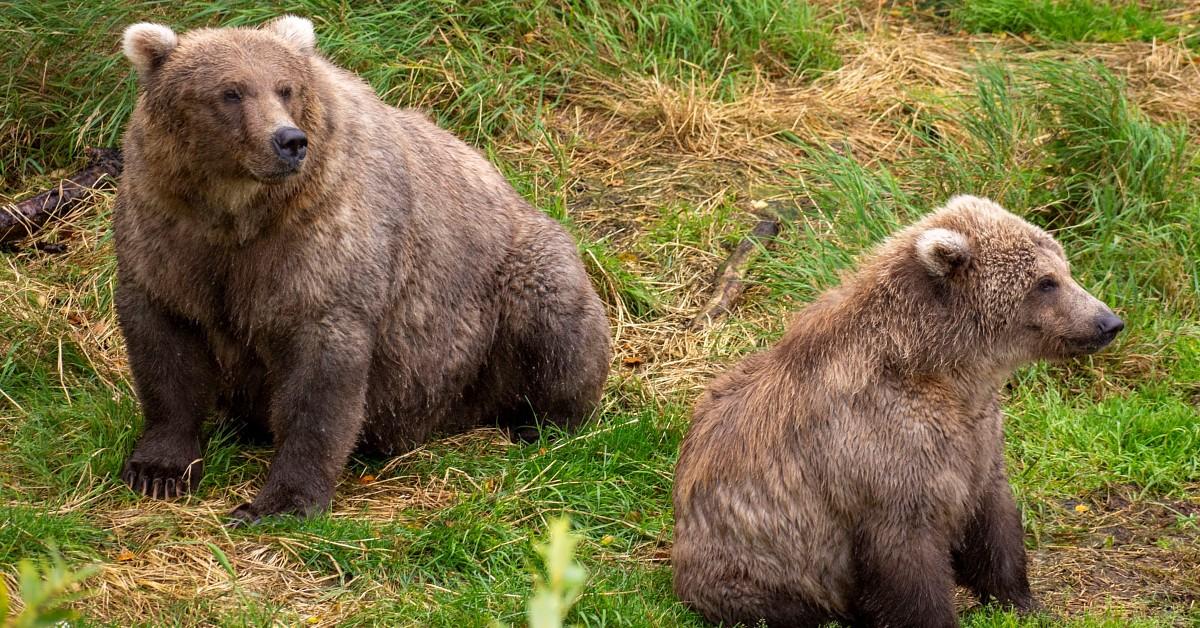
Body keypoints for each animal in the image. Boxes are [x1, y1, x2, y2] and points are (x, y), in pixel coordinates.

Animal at [114, 17, 609, 523]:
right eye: (230, 92)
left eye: (285, 88)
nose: (289, 141)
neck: (238, 214)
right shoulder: (170, 238)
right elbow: (166, 351)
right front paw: (158, 470)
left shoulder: (321, 246)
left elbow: (320, 379)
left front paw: (279, 502)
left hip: (511, 281)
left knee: (554, 327)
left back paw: (541, 423)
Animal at [676, 198, 1123, 628]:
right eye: (1045, 282)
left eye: (1065, 269)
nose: (1109, 321)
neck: (941, 369)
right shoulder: (882, 452)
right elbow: (907, 562)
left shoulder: (977, 438)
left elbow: (994, 523)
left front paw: (1022, 602)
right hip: (749, 564)